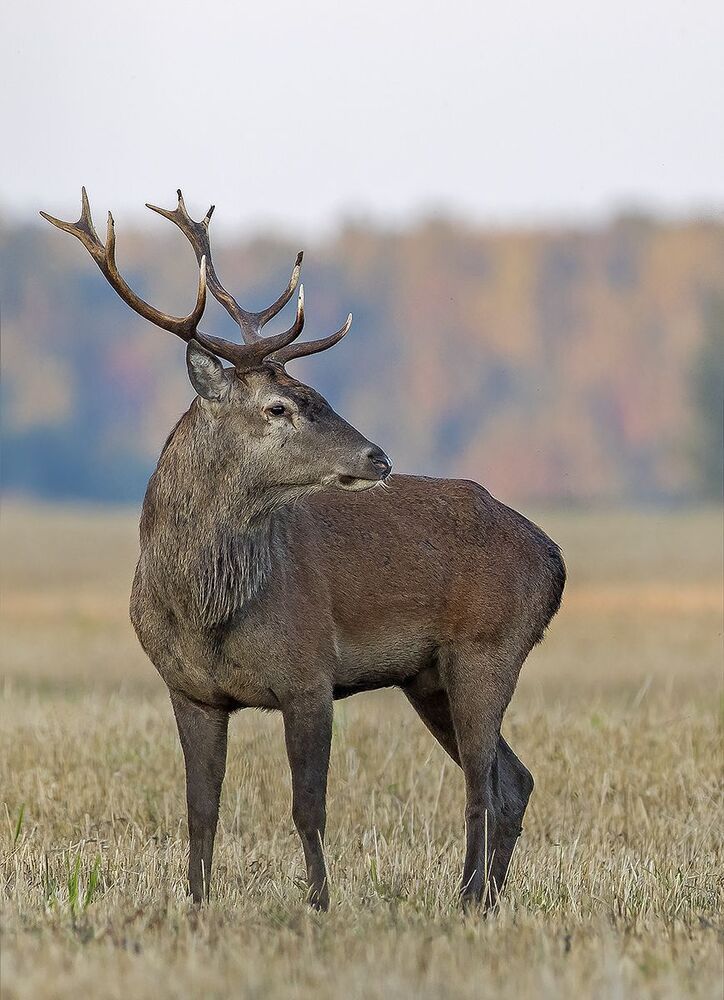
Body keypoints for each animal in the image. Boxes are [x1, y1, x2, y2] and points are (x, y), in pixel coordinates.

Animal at [41, 190, 565, 912]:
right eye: (280, 406)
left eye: (319, 395)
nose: (377, 457)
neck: (207, 610)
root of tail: (554, 559)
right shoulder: (189, 690)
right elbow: (200, 809)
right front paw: (196, 903)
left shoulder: (309, 674)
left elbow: (307, 806)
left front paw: (319, 903)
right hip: (428, 677)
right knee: (513, 781)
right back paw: (484, 901)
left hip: (488, 648)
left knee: (481, 789)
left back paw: (466, 901)